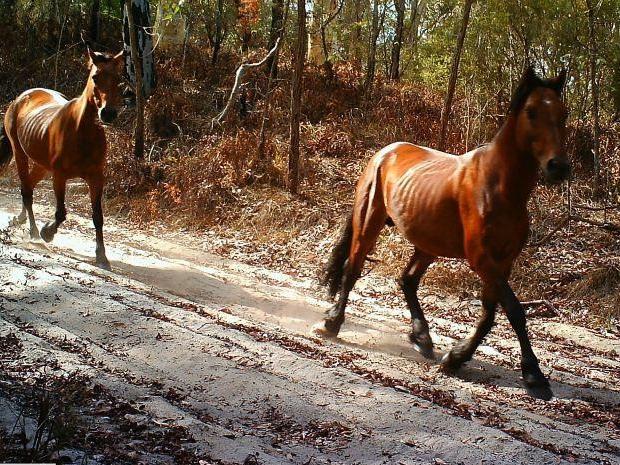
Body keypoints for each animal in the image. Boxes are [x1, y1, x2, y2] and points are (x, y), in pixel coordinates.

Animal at [0, 44, 123, 268]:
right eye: (95, 77)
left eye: (118, 77)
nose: (108, 113)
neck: (82, 132)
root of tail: (21, 97)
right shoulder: (59, 175)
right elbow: (61, 213)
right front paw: (47, 232)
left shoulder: (96, 178)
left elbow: (98, 217)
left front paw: (102, 257)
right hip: (20, 153)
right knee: (26, 191)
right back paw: (34, 232)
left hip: (42, 166)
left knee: (28, 186)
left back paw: (19, 220)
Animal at [322, 67, 568, 396]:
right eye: (531, 111)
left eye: (563, 113)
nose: (559, 166)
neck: (499, 187)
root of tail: (385, 152)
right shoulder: (481, 259)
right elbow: (514, 310)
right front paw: (534, 375)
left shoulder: (503, 261)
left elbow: (490, 312)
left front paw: (456, 358)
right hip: (369, 222)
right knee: (353, 268)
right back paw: (333, 323)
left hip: (428, 243)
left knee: (408, 280)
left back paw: (422, 338)